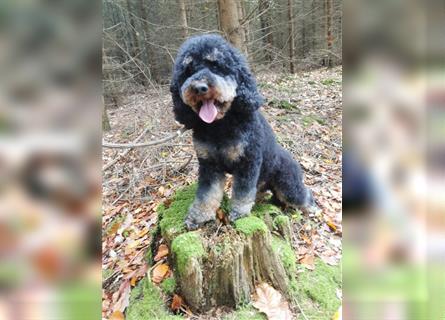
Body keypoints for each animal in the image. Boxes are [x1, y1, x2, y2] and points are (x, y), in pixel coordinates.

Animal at [170, 34, 316, 230]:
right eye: (189, 70)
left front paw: (239, 213)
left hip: (288, 185)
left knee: (303, 194)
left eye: (216, 66)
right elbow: (207, 193)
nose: (199, 87)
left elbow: (242, 191)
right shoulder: (209, 165)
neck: (219, 125)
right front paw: (198, 216)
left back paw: (312, 208)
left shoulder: (248, 161)